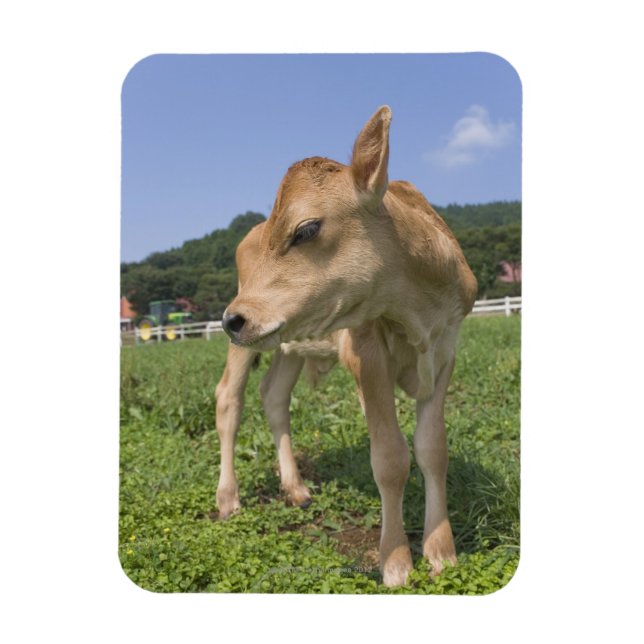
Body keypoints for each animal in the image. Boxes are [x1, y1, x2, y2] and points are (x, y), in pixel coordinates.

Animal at [219, 106, 477, 587]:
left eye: (306, 229)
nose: (230, 319)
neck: (417, 310)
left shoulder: (446, 349)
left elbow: (433, 449)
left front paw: (441, 551)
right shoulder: (365, 353)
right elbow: (390, 458)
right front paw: (396, 562)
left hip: (288, 342)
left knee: (274, 396)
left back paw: (296, 488)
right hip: (248, 336)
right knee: (229, 399)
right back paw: (227, 498)